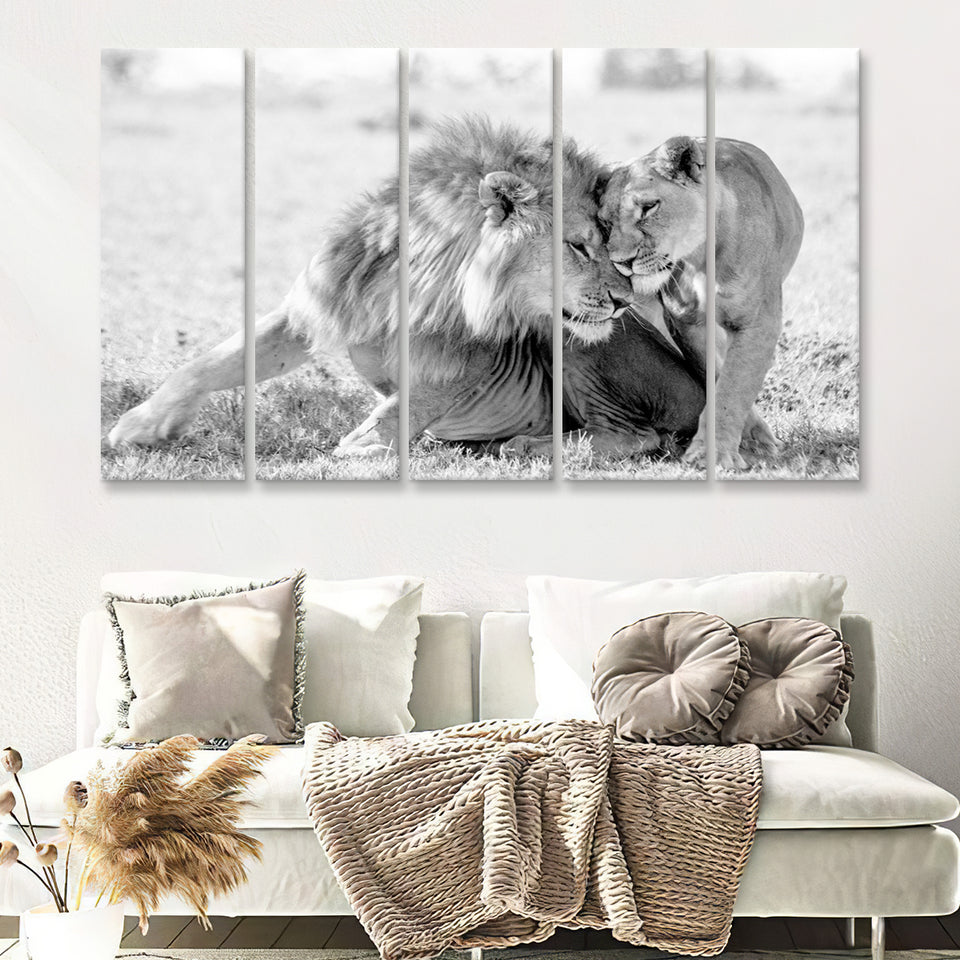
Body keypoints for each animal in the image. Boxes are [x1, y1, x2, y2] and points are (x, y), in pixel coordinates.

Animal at [108, 117, 702, 460]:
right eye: (579, 246)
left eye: (610, 242)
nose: (625, 301)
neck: (416, 278)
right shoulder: (314, 306)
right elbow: (211, 362)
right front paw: (142, 425)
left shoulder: (468, 361)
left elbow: (398, 407)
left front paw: (362, 444)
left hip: (579, 349)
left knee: (641, 436)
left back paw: (529, 443)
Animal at [598, 135, 804, 470]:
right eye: (605, 223)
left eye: (648, 208)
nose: (621, 262)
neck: (700, 257)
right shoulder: (686, 322)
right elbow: (718, 379)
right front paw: (735, 442)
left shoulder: (757, 322)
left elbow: (733, 387)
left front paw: (716, 455)